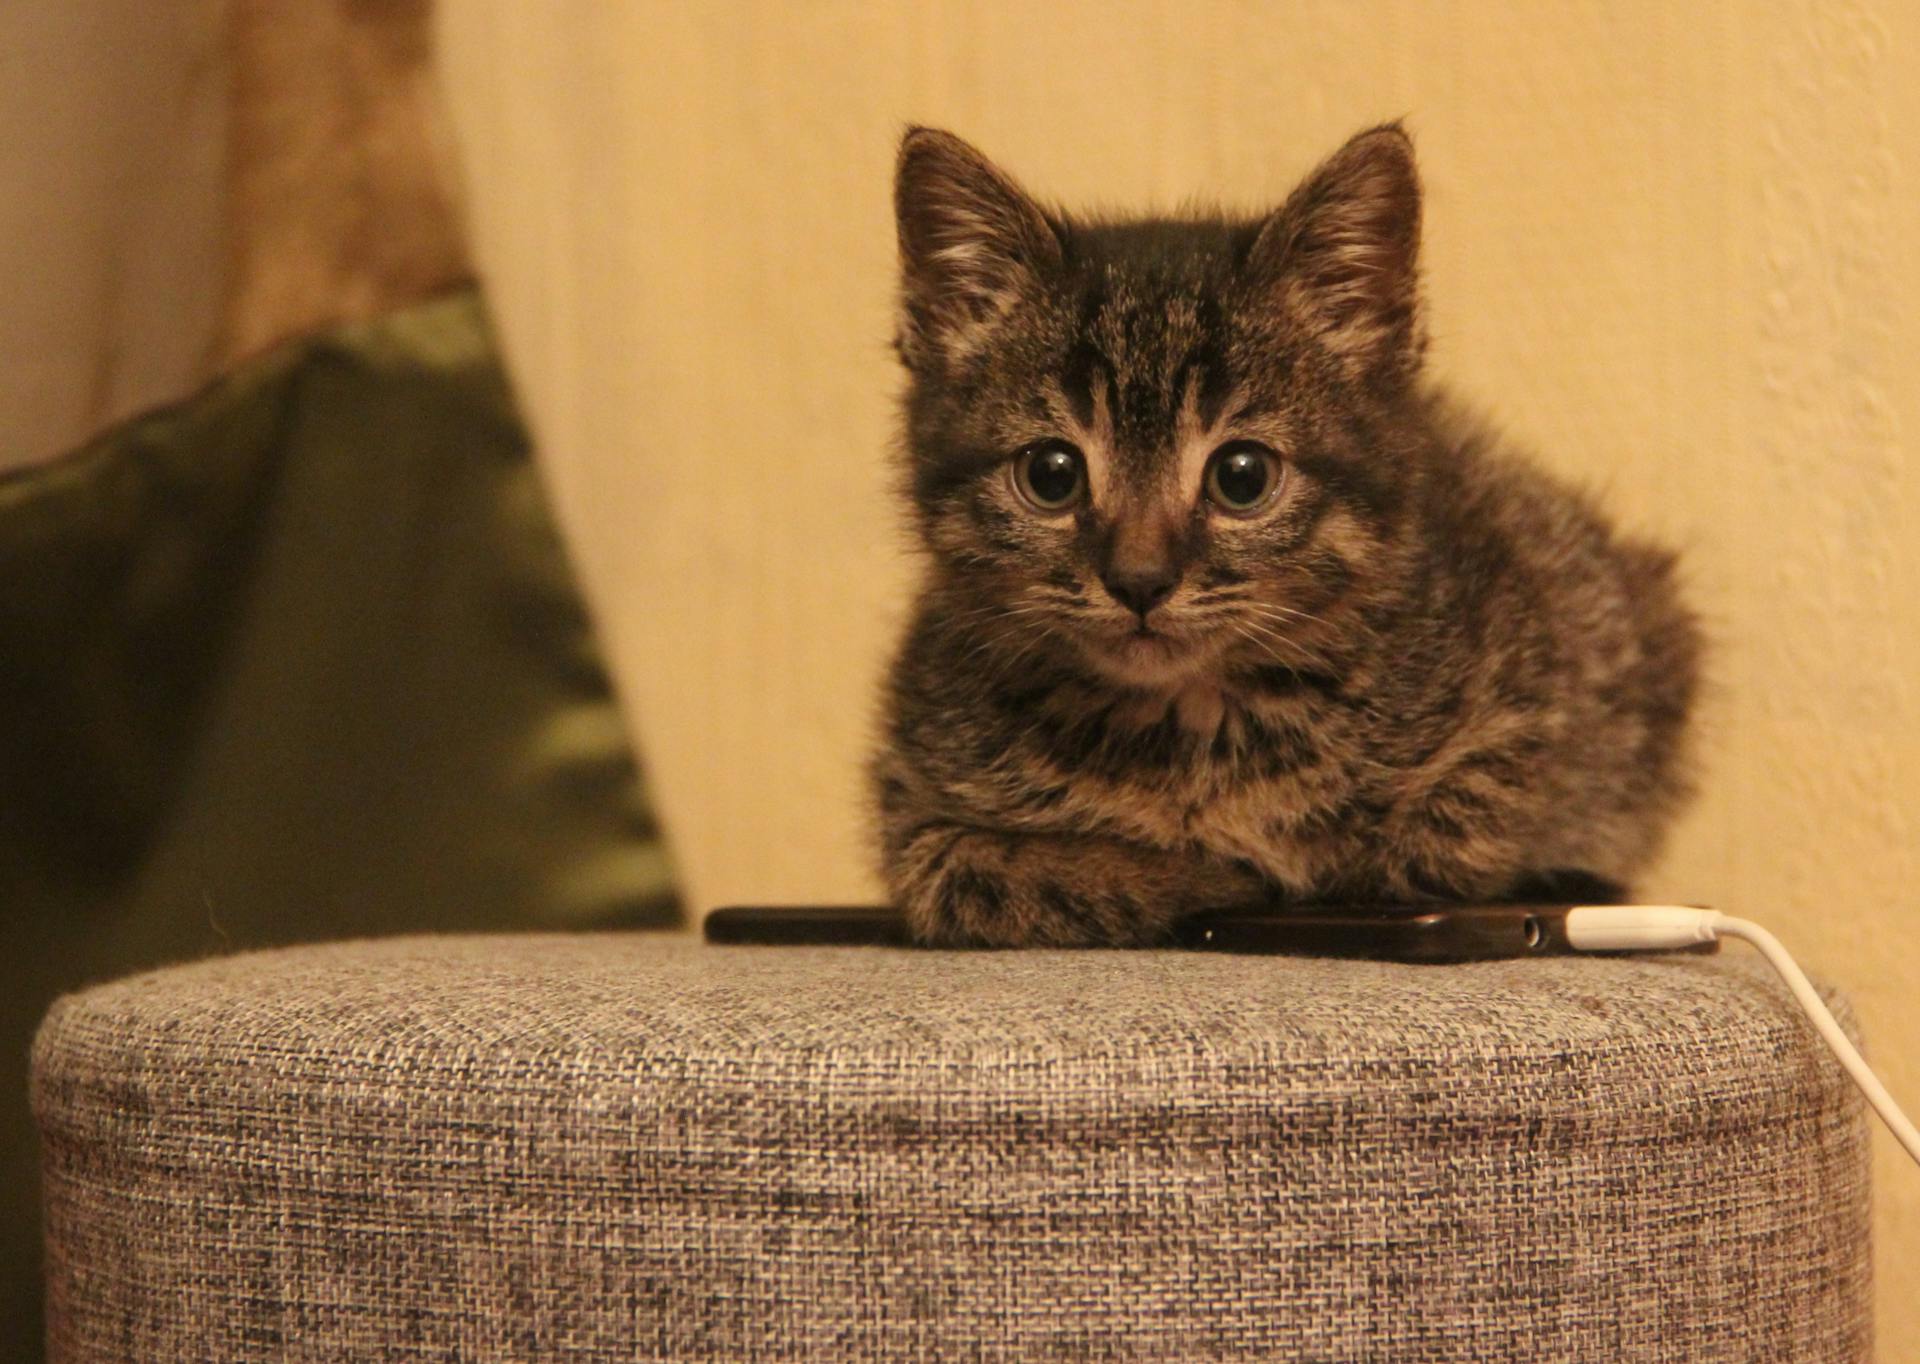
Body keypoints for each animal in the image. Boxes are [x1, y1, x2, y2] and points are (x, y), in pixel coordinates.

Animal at [871, 125, 1697, 952]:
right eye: (1051, 474)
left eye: (1242, 476)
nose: (1139, 580)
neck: (1184, 732)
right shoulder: (909, 789)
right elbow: (967, 869)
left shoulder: (1536, 669)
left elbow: (1451, 828)